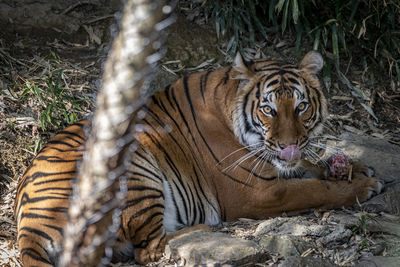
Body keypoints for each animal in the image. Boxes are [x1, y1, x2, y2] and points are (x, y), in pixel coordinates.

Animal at [15, 51, 384, 266]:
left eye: (301, 106)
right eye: (268, 109)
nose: (288, 145)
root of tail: (29, 225)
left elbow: (310, 166)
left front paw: (353, 167)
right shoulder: (259, 191)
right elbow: (313, 190)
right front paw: (364, 186)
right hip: (135, 169)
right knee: (149, 249)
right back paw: (208, 229)